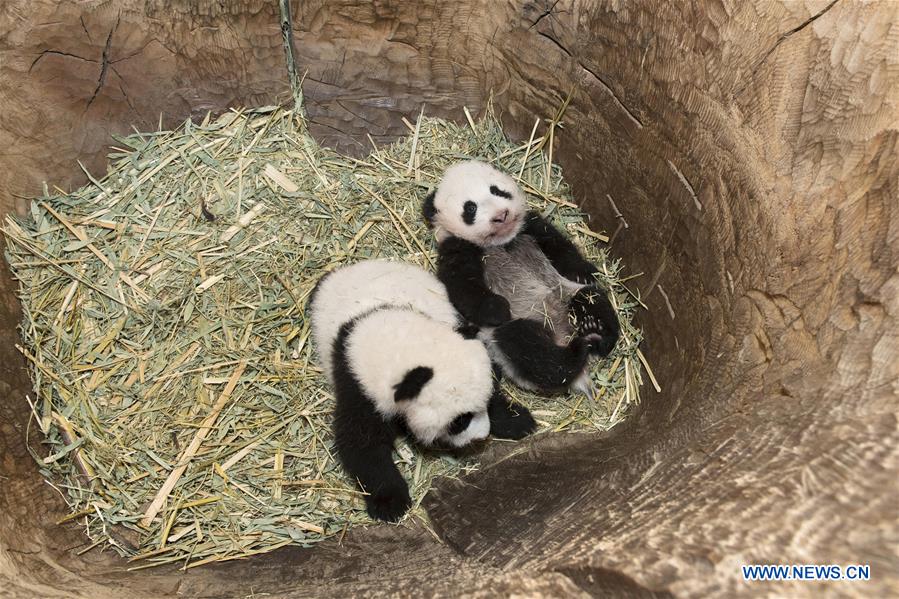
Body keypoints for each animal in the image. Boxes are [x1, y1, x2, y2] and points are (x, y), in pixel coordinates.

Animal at [308, 260, 536, 522]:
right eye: (460, 421)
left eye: (485, 404)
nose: (480, 436)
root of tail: (356, 265)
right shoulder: (357, 383)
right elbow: (362, 443)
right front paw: (390, 502)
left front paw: (517, 420)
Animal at [422, 160, 620, 395]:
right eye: (470, 208)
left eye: (497, 191)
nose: (501, 215)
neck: (501, 242)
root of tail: (563, 336)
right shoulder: (457, 247)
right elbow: (463, 286)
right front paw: (496, 309)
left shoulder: (530, 226)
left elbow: (558, 244)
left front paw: (584, 272)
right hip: (517, 329)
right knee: (534, 352)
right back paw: (576, 351)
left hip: (567, 292)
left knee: (592, 299)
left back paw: (594, 329)